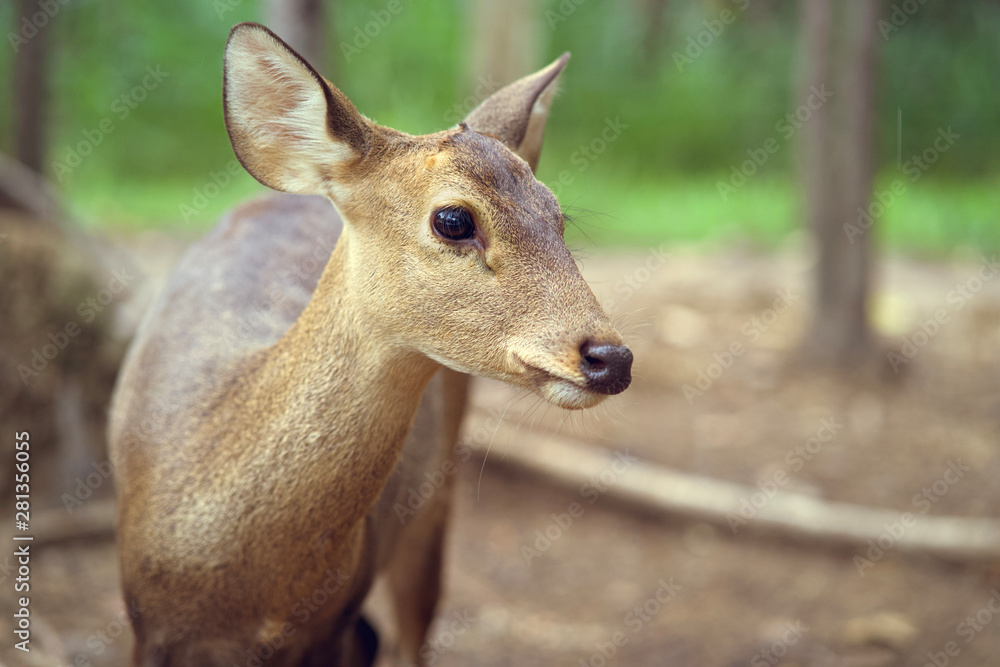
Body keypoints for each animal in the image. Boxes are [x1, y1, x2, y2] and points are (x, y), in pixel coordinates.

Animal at [108, 22, 633, 667]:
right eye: (454, 219)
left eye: (558, 216)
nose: (611, 357)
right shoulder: (147, 627)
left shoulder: (331, 623)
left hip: (435, 498)